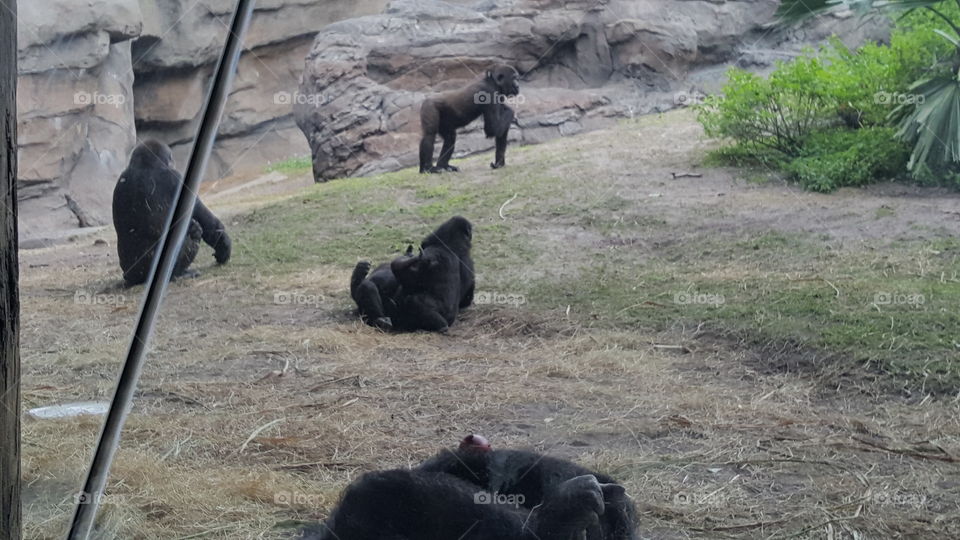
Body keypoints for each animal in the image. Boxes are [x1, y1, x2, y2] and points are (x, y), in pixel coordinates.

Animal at [111, 140, 232, 286]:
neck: (145, 166)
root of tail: (133, 278)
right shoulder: (177, 179)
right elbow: (210, 225)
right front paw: (224, 248)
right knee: (195, 231)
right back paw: (179, 273)